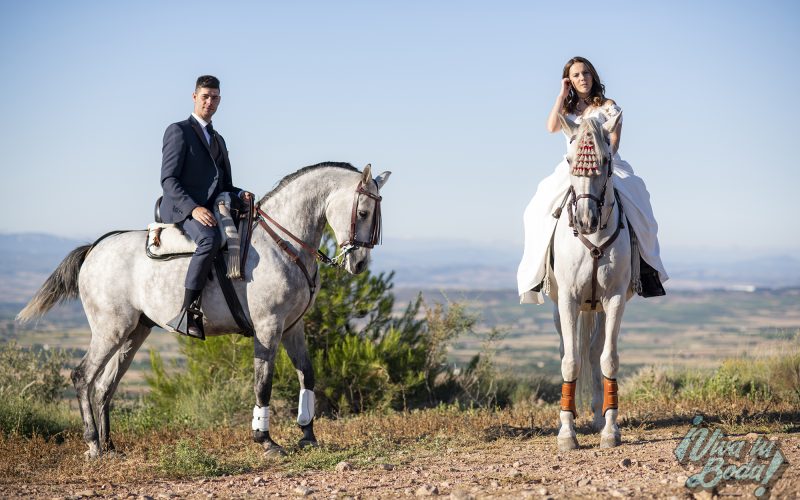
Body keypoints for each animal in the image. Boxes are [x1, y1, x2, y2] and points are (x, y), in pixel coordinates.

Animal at [17, 162, 392, 458]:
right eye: (362, 213)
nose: (359, 264)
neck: (283, 243)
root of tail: (95, 247)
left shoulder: (292, 327)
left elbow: (307, 375)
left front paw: (308, 435)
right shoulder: (268, 327)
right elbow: (263, 383)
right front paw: (266, 441)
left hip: (134, 332)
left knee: (104, 385)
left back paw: (110, 447)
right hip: (111, 329)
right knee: (83, 377)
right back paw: (94, 444)